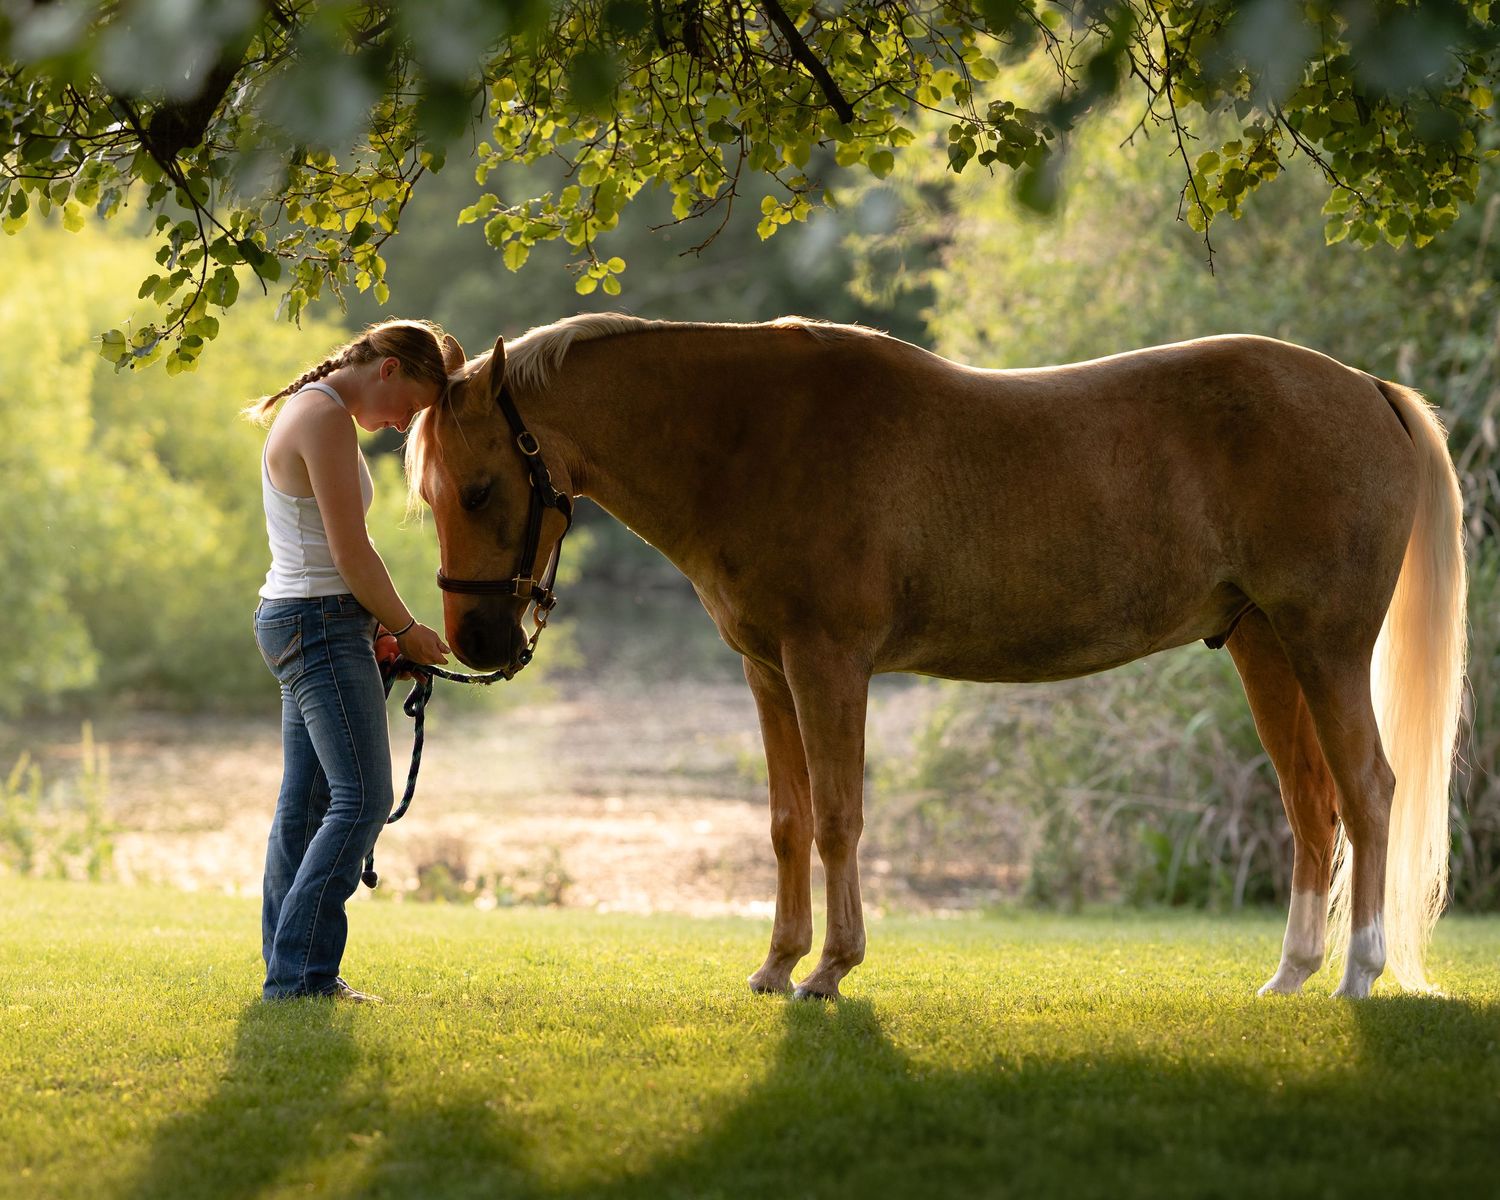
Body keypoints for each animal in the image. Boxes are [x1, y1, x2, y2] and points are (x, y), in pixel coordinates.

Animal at [409, 315, 1466, 1001]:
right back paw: (1290, 976)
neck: (755, 435)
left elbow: (839, 818)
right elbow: (787, 823)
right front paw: (778, 962)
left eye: (475, 490)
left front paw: (831, 969)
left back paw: (1360, 975)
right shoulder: (768, 672)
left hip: (1325, 645)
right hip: (1263, 645)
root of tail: (1369, 390)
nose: (476, 642)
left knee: (1368, 791)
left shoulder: (828, 665)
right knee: (1311, 804)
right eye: (429, 494)